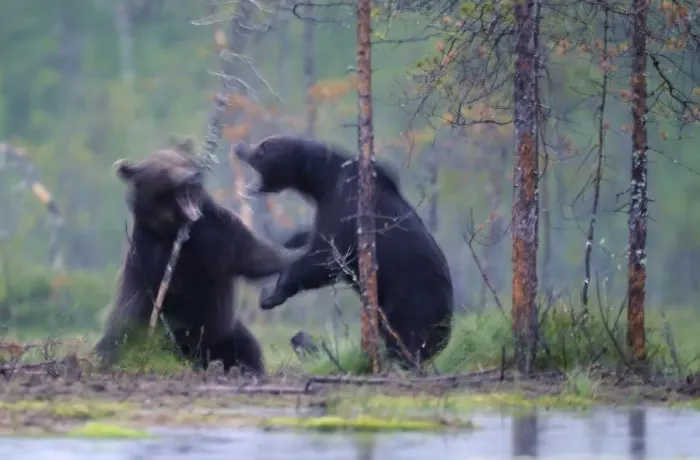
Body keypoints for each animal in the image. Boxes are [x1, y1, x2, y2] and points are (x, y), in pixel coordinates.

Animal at [93, 138, 303, 376]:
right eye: (164, 169)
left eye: (183, 161)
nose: (190, 176)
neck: (179, 228)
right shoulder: (151, 252)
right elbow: (165, 286)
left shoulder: (217, 233)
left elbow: (257, 256)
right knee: (114, 342)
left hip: (222, 334)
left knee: (245, 345)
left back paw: (247, 369)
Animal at [233, 135, 454, 369]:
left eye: (263, 147)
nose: (238, 147)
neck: (323, 182)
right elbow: (309, 239)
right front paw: (286, 246)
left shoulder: (347, 208)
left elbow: (326, 258)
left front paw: (271, 293)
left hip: (413, 299)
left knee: (406, 336)